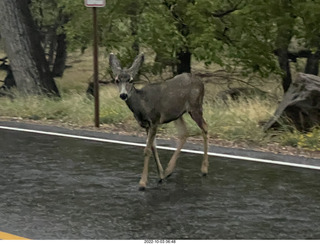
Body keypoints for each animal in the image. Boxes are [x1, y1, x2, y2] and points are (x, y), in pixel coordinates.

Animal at [109, 53, 210, 191]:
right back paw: (168, 171)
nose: (123, 95)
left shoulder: (155, 120)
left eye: (130, 80)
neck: (141, 105)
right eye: (116, 80)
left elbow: (147, 150)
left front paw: (142, 183)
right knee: (184, 132)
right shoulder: (146, 125)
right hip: (177, 114)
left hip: (195, 107)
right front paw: (161, 175)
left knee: (205, 127)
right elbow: (153, 148)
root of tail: (201, 82)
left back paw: (204, 169)